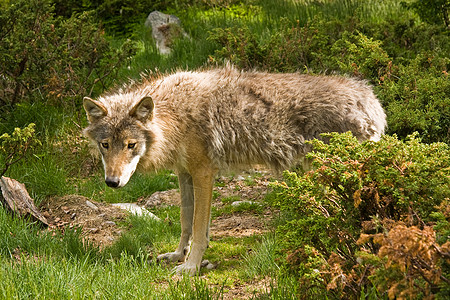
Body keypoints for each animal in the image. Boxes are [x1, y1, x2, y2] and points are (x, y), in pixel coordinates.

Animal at [81, 65, 386, 274]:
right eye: (105, 145)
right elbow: (185, 222)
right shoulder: (184, 173)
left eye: (131, 145)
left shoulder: (205, 173)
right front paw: (178, 255)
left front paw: (191, 268)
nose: (112, 182)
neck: (175, 116)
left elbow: (199, 228)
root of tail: (370, 99)